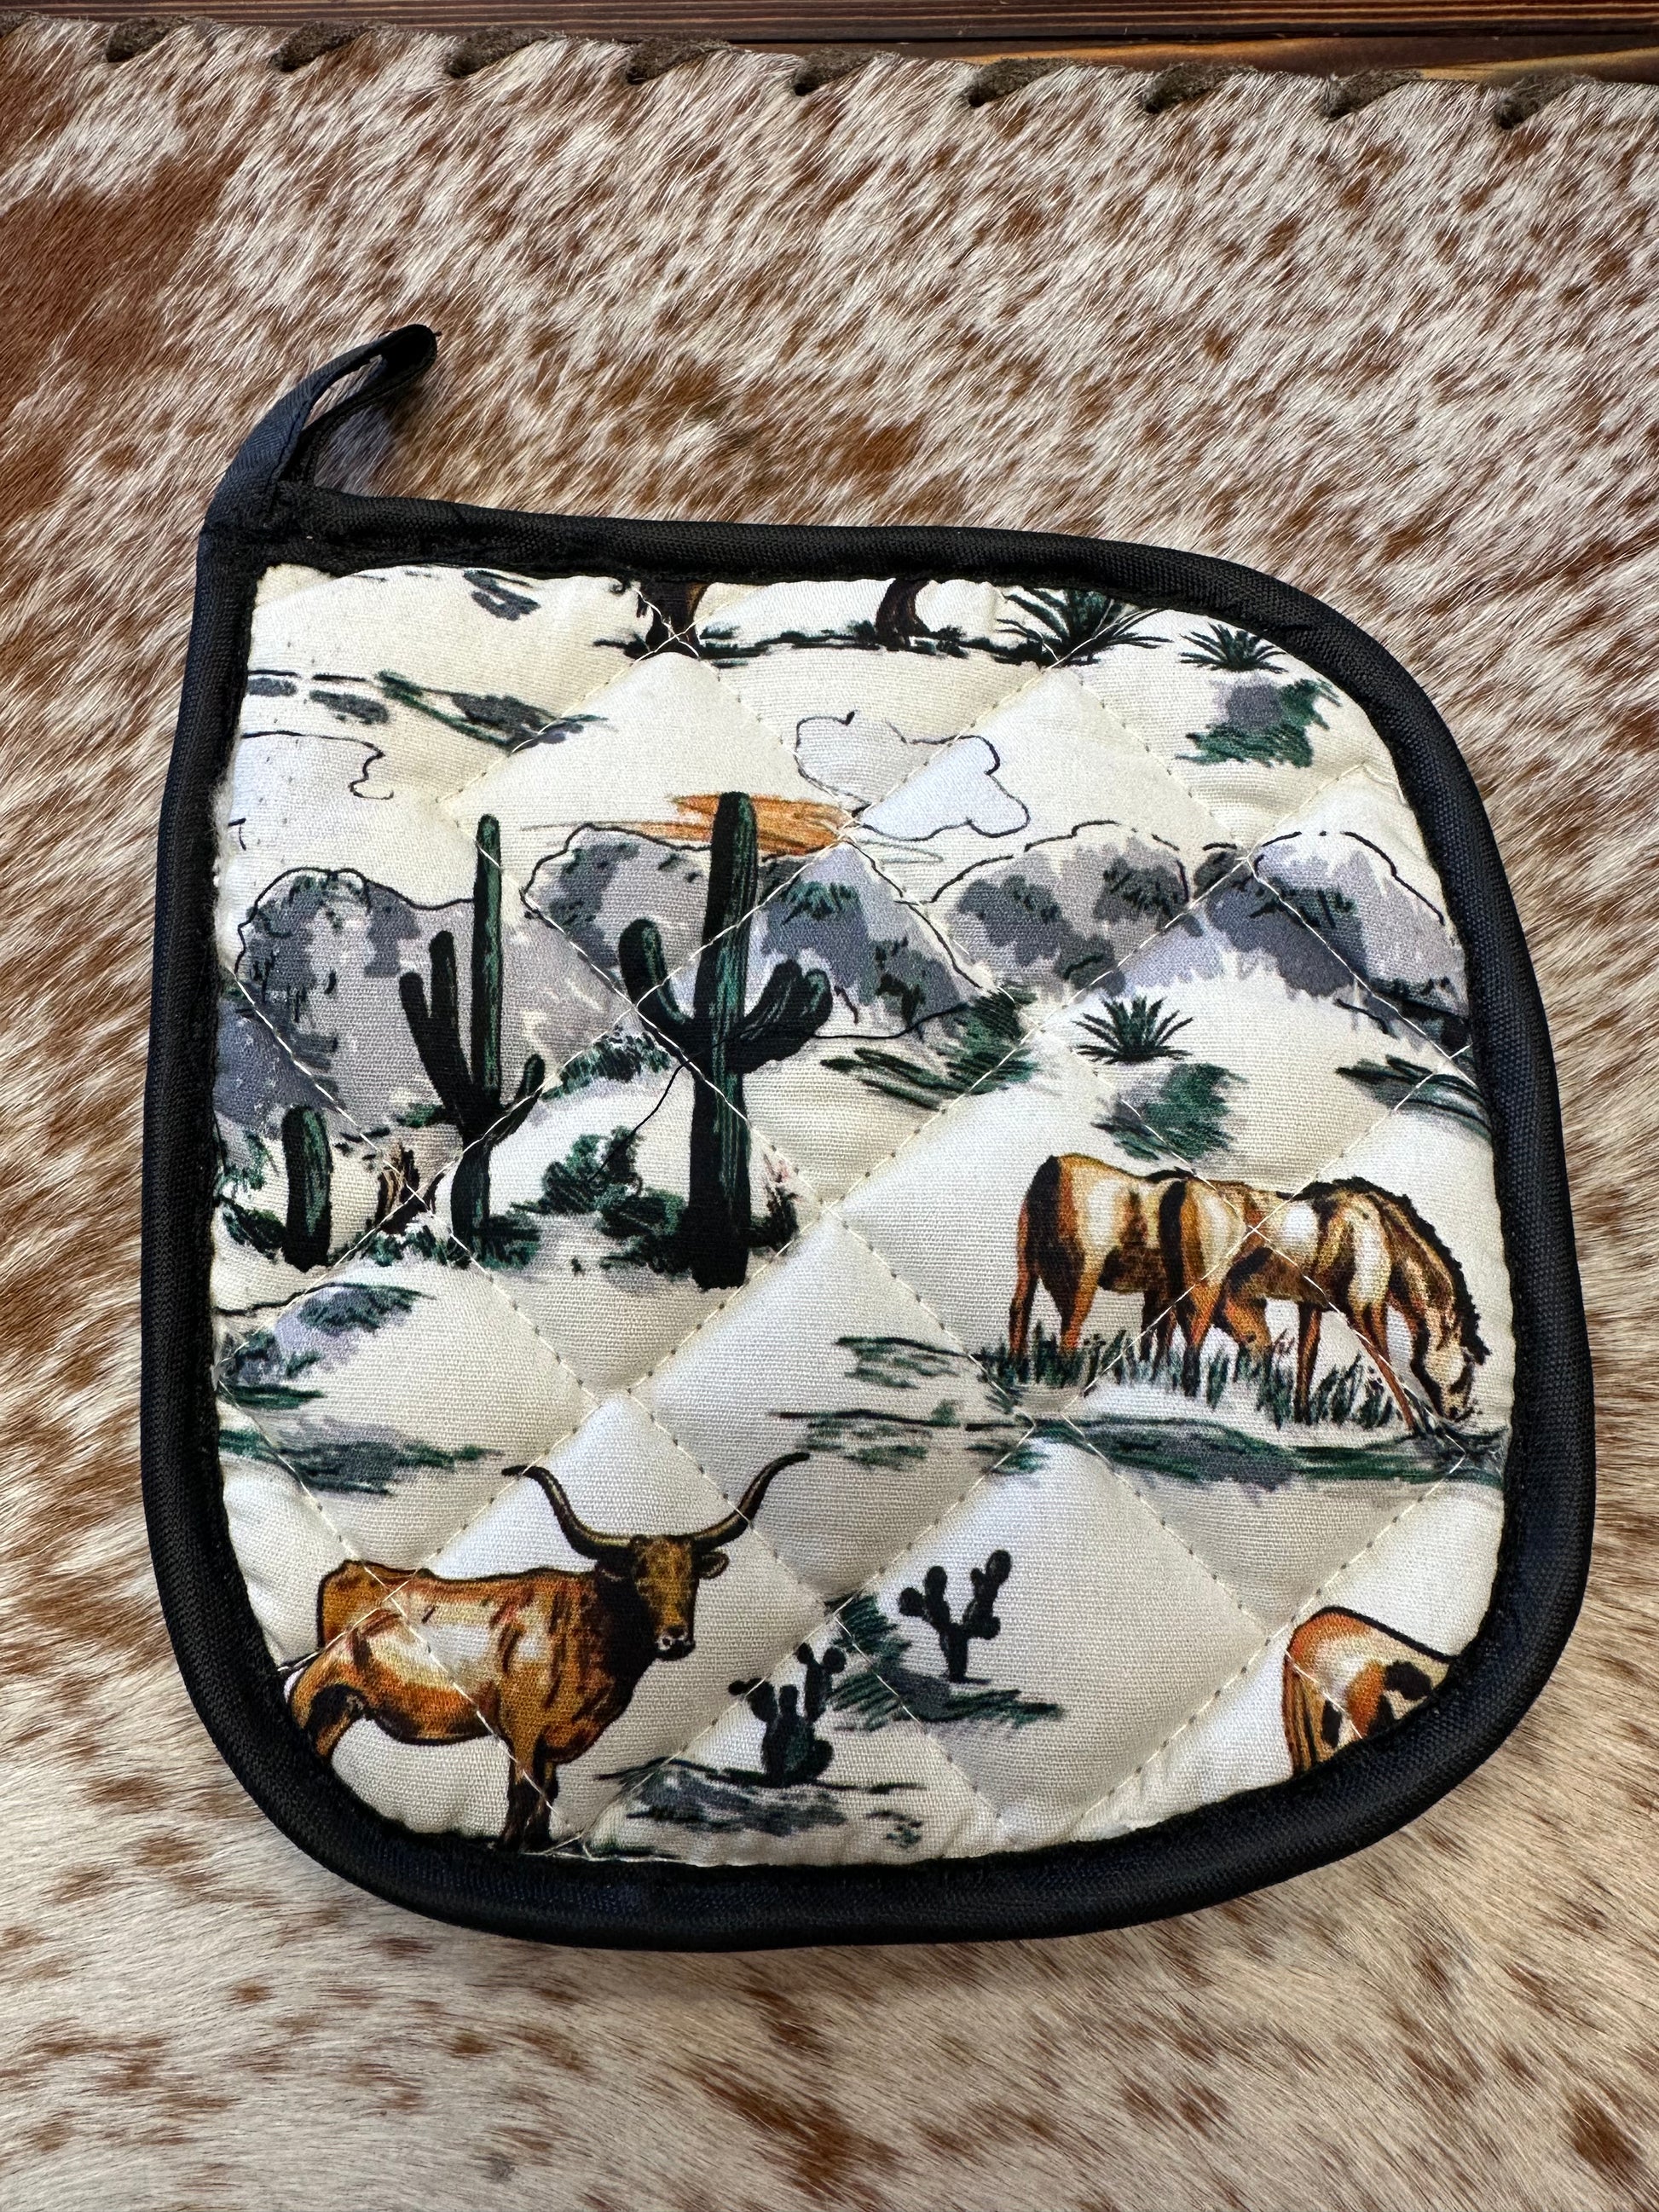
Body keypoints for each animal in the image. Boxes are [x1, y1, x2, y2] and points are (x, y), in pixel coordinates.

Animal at [286, 1450, 808, 1851]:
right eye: (639, 1578)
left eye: (691, 1578)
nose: (676, 1638)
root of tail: (348, 1570)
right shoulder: (523, 1731)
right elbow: (523, 1793)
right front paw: (505, 1846)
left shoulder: (556, 1743)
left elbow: (549, 1795)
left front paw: (537, 1843)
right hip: (317, 1687)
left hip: (344, 1705)